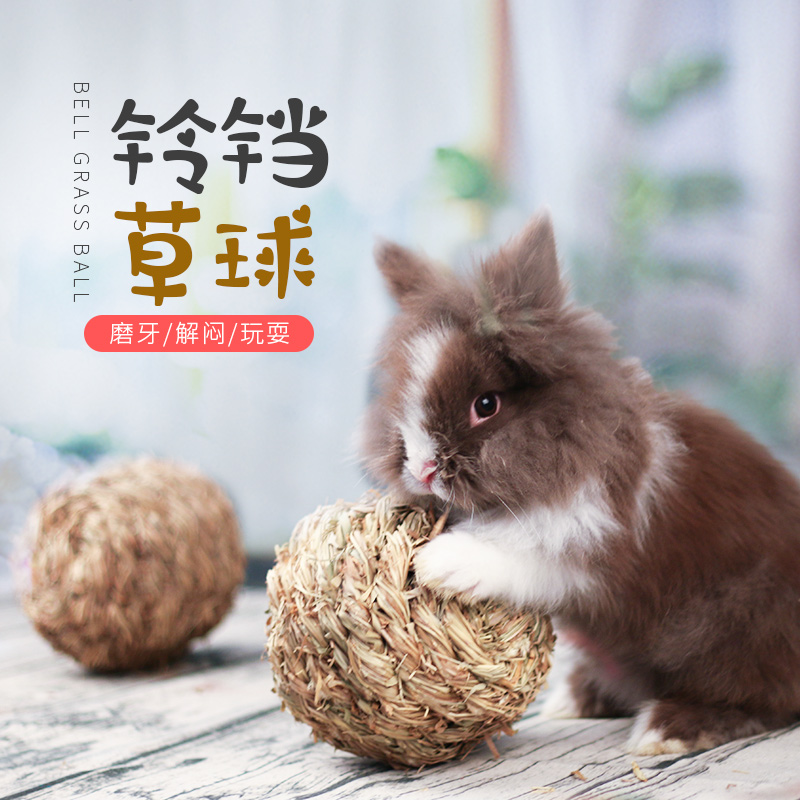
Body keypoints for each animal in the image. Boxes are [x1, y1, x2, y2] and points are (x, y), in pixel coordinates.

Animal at [360, 211, 800, 756]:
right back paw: (577, 699)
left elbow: (527, 558)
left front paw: (442, 563)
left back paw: (667, 730)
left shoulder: (598, 554)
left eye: (486, 405)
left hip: (740, 625)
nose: (422, 468)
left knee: (763, 700)